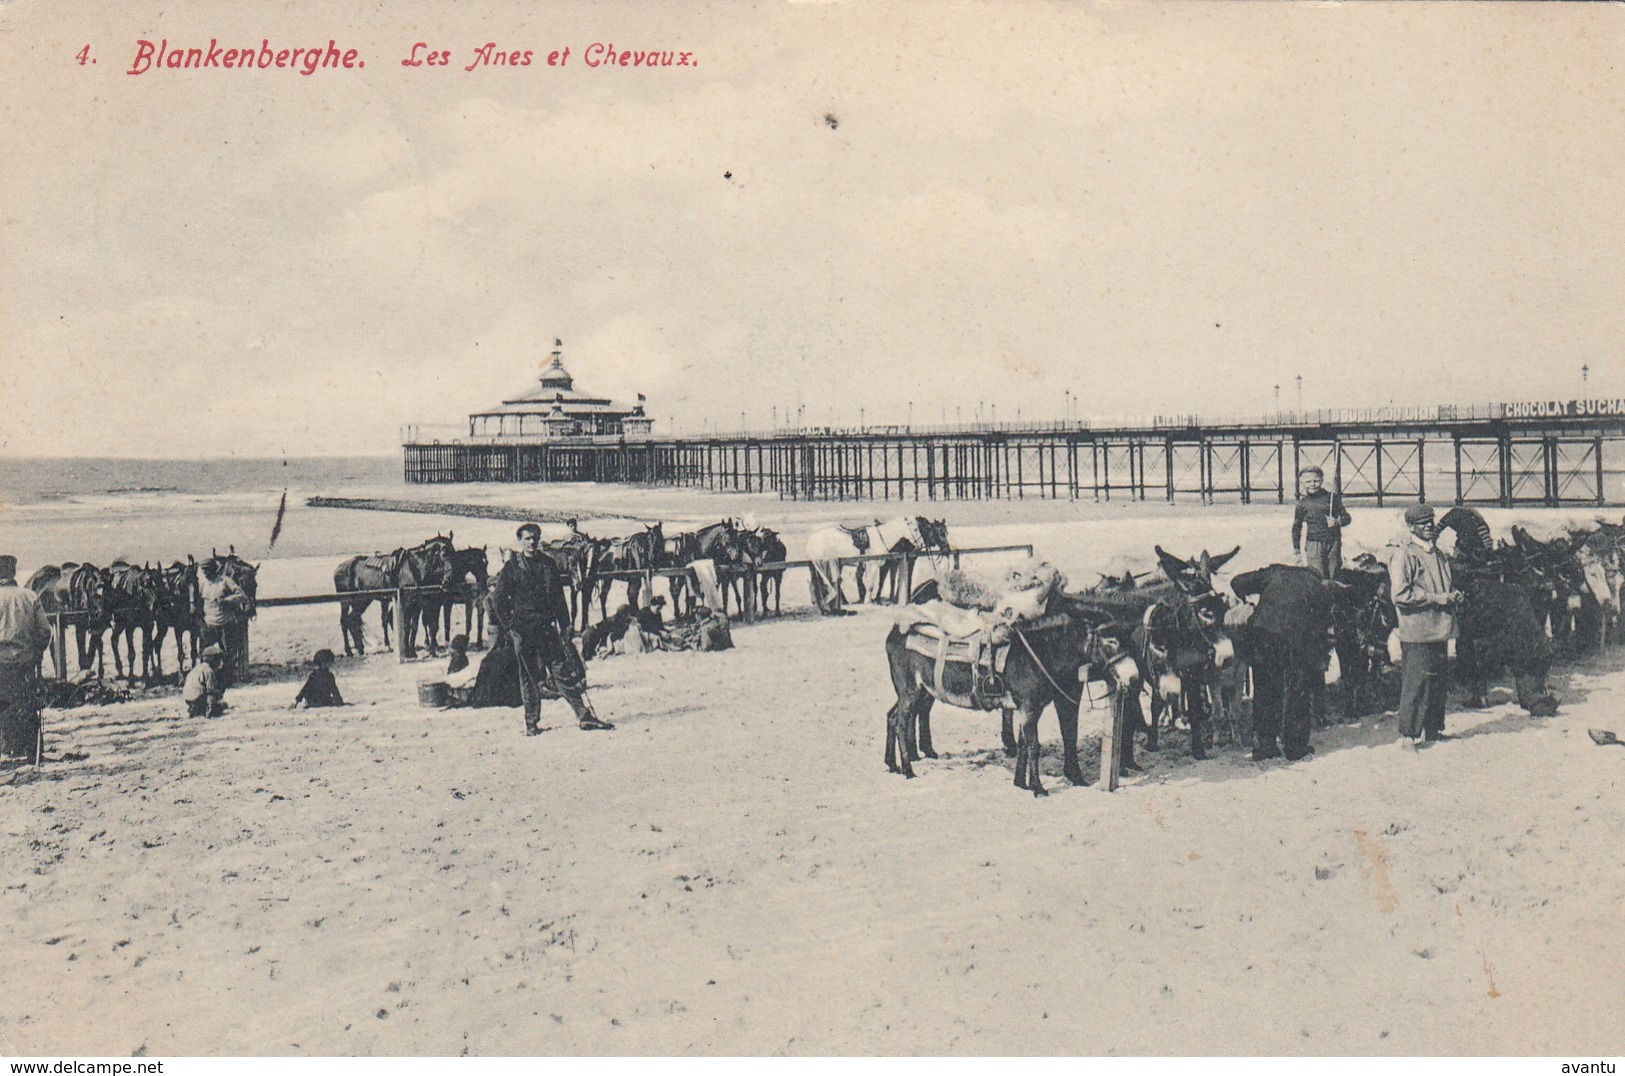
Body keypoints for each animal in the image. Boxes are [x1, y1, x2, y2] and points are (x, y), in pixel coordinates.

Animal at [802, 516, 949, 614]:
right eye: (917, 528)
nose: (947, 549)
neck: (882, 538)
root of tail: (811, 540)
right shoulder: (873, 566)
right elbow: (872, 585)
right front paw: (869, 602)